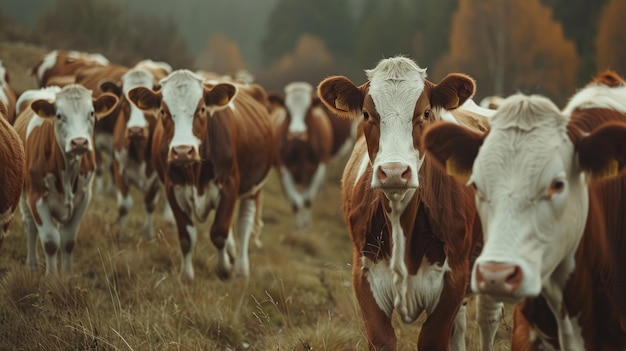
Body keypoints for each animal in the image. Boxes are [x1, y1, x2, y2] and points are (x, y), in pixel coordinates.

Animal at [13, 83, 118, 276]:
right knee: (29, 225)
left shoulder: (83, 198)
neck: (67, 170)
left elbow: (68, 240)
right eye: (59, 115)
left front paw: (67, 275)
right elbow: (50, 241)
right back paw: (32, 264)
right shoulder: (37, 198)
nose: (79, 142)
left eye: (91, 113)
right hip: (23, 193)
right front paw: (52, 277)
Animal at [125, 70, 274, 282]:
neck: (195, 173)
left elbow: (219, 232)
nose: (182, 151)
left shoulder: (230, 186)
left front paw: (224, 269)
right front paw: (186, 276)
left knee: (244, 224)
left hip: (254, 187)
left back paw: (241, 270)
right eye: (163, 111)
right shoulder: (172, 189)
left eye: (202, 109)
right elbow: (186, 236)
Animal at [266, 82, 354, 231]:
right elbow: (295, 200)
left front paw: (306, 226)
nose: (297, 134)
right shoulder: (283, 167)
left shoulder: (320, 167)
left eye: (308, 110)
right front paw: (298, 227)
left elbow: (308, 199)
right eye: (287, 110)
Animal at [314, 56, 500, 350]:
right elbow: (383, 339)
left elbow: (434, 338)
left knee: (488, 322)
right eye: (366, 114)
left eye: (425, 113)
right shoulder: (364, 277)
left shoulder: (453, 280)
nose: (393, 171)